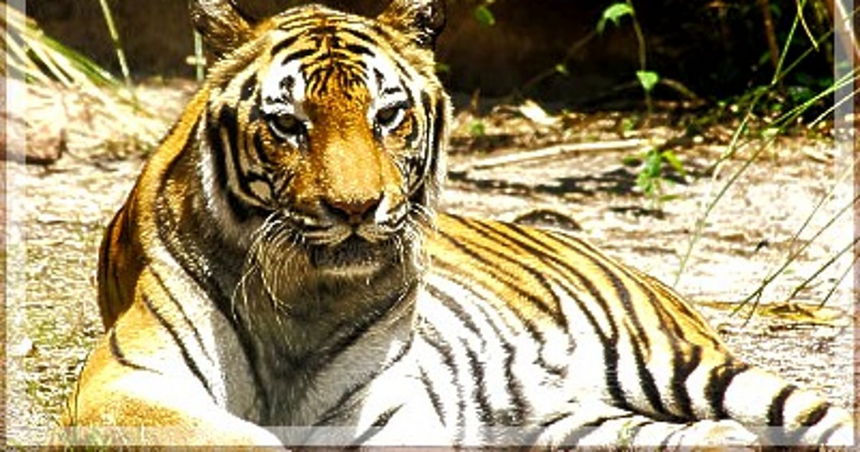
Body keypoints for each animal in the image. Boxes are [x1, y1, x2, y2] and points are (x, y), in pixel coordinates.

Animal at [59, 0, 854, 447]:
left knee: (814, 412)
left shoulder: (381, 407)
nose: (355, 210)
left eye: (387, 116)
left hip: (676, 362)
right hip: (567, 419)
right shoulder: (123, 385)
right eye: (288, 124)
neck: (302, 298)